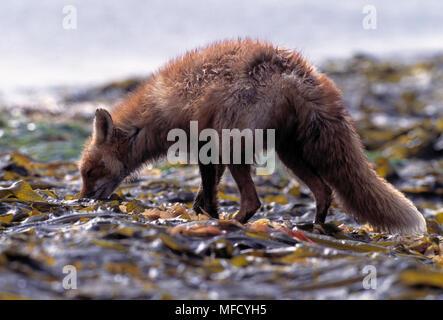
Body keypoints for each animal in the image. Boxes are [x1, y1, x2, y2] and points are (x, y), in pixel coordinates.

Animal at [78, 39, 428, 235]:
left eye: (89, 172)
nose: (82, 201)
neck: (158, 109)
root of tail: (298, 71)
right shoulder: (211, 150)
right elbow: (204, 194)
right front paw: (199, 214)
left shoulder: (208, 145)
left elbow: (208, 195)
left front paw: (208, 217)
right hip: (290, 154)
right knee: (324, 191)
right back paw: (316, 227)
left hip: (237, 147)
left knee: (254, 201)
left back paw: (234, 225)